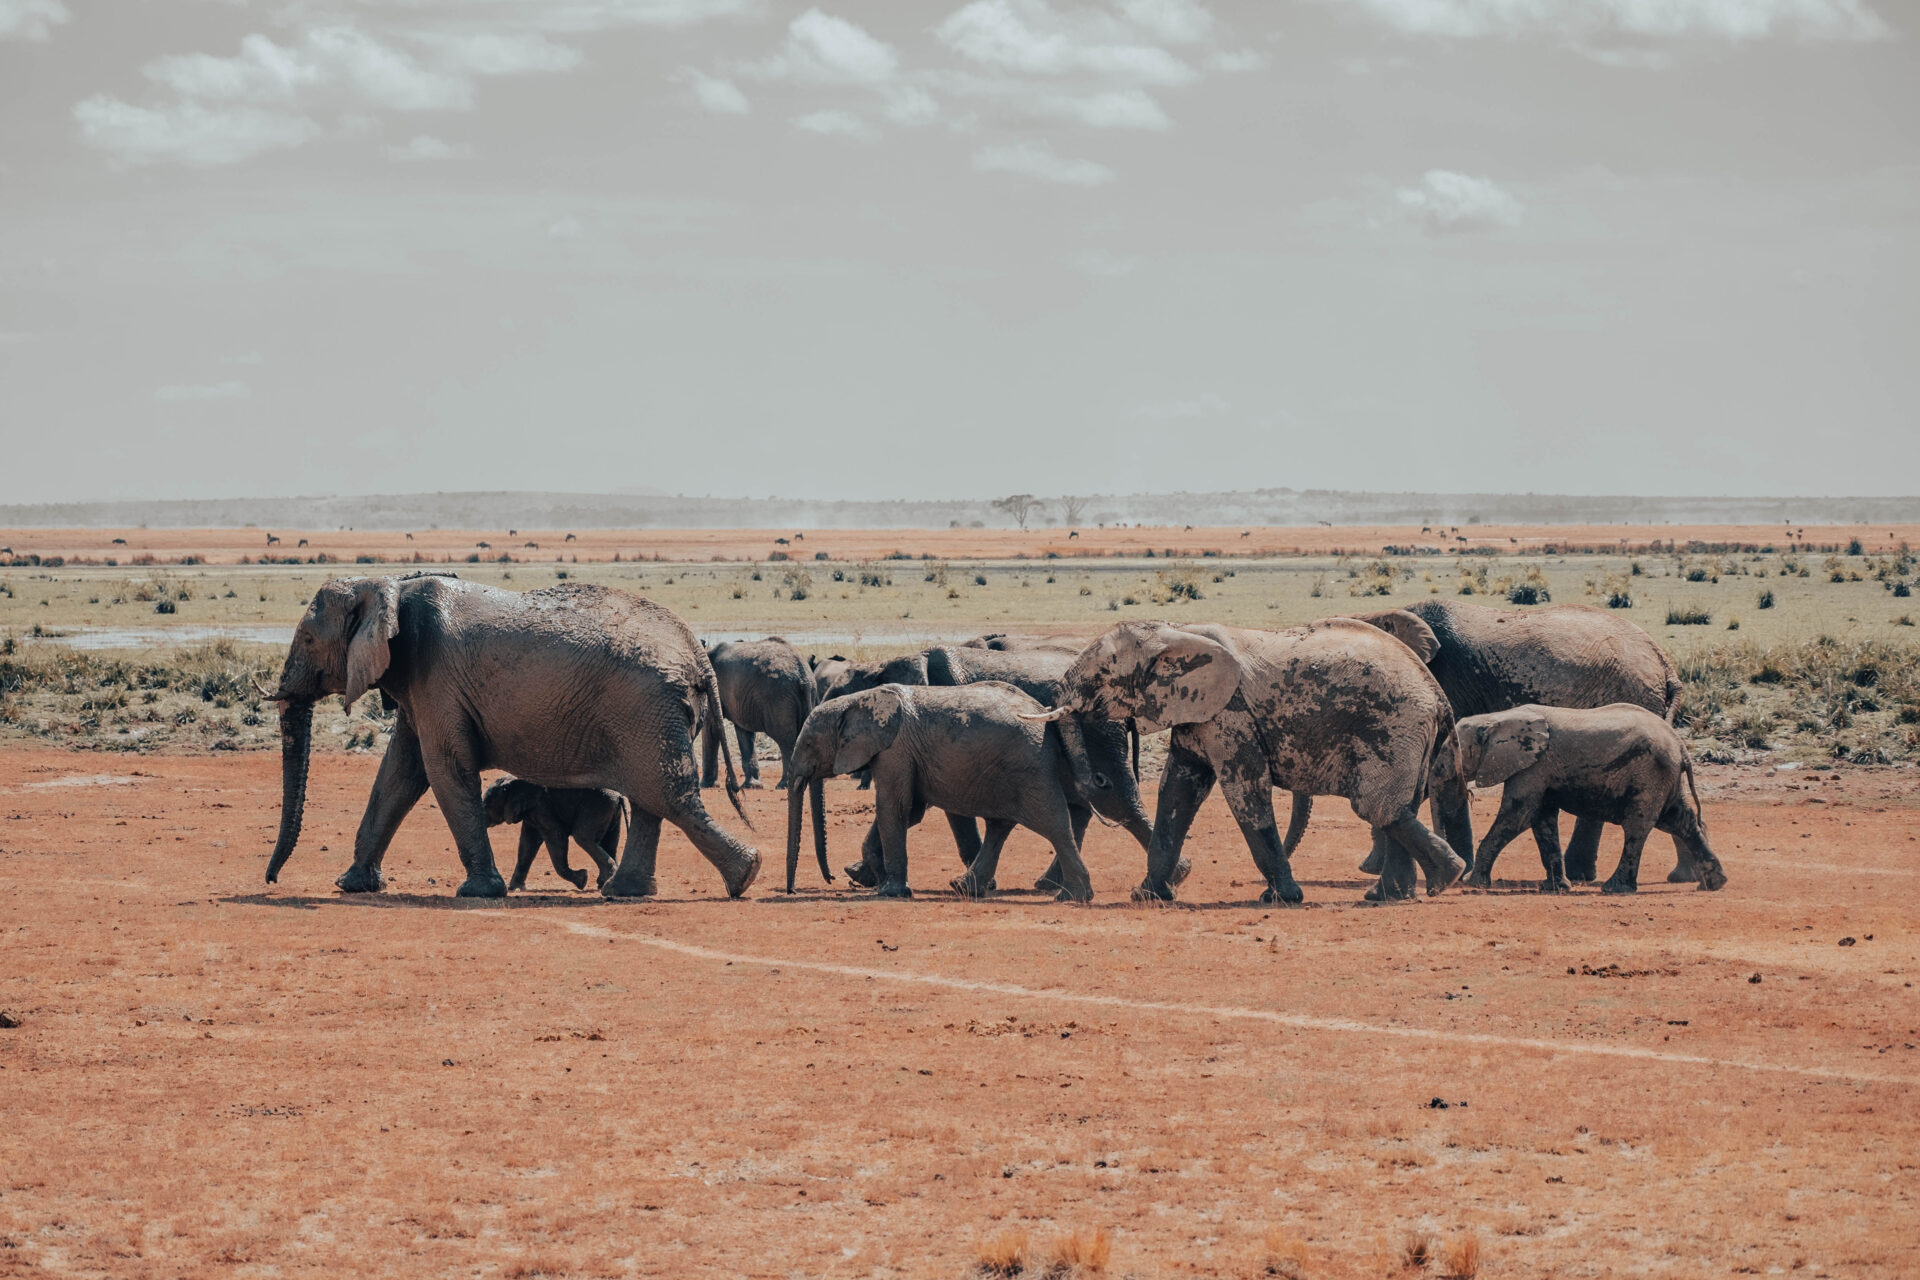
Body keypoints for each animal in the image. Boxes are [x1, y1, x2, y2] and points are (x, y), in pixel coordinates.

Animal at [482, 777, 625, 891]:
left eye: (486, 805)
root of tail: (619, 797)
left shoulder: (542, 806)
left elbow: (556, 835)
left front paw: (582, 880)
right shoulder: (531, 811)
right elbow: (527, 844)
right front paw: (514, 889)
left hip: (597, 806)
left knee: (582, 837)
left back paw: (602, 882)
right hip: (611, 811)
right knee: (610, 843)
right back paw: (605, 883)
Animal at [705, 638, 830, 891]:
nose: (733, 787)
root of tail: (803, 675)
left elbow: (713, 726)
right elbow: (743, 733)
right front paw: (752, 785)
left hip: (778, 698)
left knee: (786, 741)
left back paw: (783, 784)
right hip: (804, 696)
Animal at [783, 682, 1103, 902]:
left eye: (809, 743)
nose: (792, 891)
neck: (857, 700)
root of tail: (1043, 712)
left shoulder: (895, 750)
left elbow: (893, 808)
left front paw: (890, 891)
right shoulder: (900, 754)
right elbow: (909, 812)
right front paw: (867, 877)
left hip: (1029, 763)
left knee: (1053, 823)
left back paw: (1073, 896)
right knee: (1000, 826)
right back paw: (964, 887)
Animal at [1030, 619, 1472, 904]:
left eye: (1100, 673)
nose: (1095, 782)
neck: (1175, 632)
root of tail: (1438, 696)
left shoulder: (1231, 713)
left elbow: (1244, 791)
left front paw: (1281, 898)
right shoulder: (1199, 712)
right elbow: (1178, 791)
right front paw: (1148, 895)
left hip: (1394, 727)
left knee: (1375, 805)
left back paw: (1440, 879)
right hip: (1411, 735)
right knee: (1398, 806)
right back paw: (1395, 893)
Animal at [1451, 704, 1727, 894]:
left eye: (1452, 747)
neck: (1496, 718)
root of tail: (1681, 746)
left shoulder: (1533, 767)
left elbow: (1518, 815)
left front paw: (1473, 883)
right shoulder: (1539, 770)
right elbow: (1542, 820)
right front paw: (1556, 888)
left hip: (1650, 773)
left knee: (1637, 826)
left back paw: (1614, 889)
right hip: (1665, 776)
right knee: (1680, 821)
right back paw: (1713, 884)